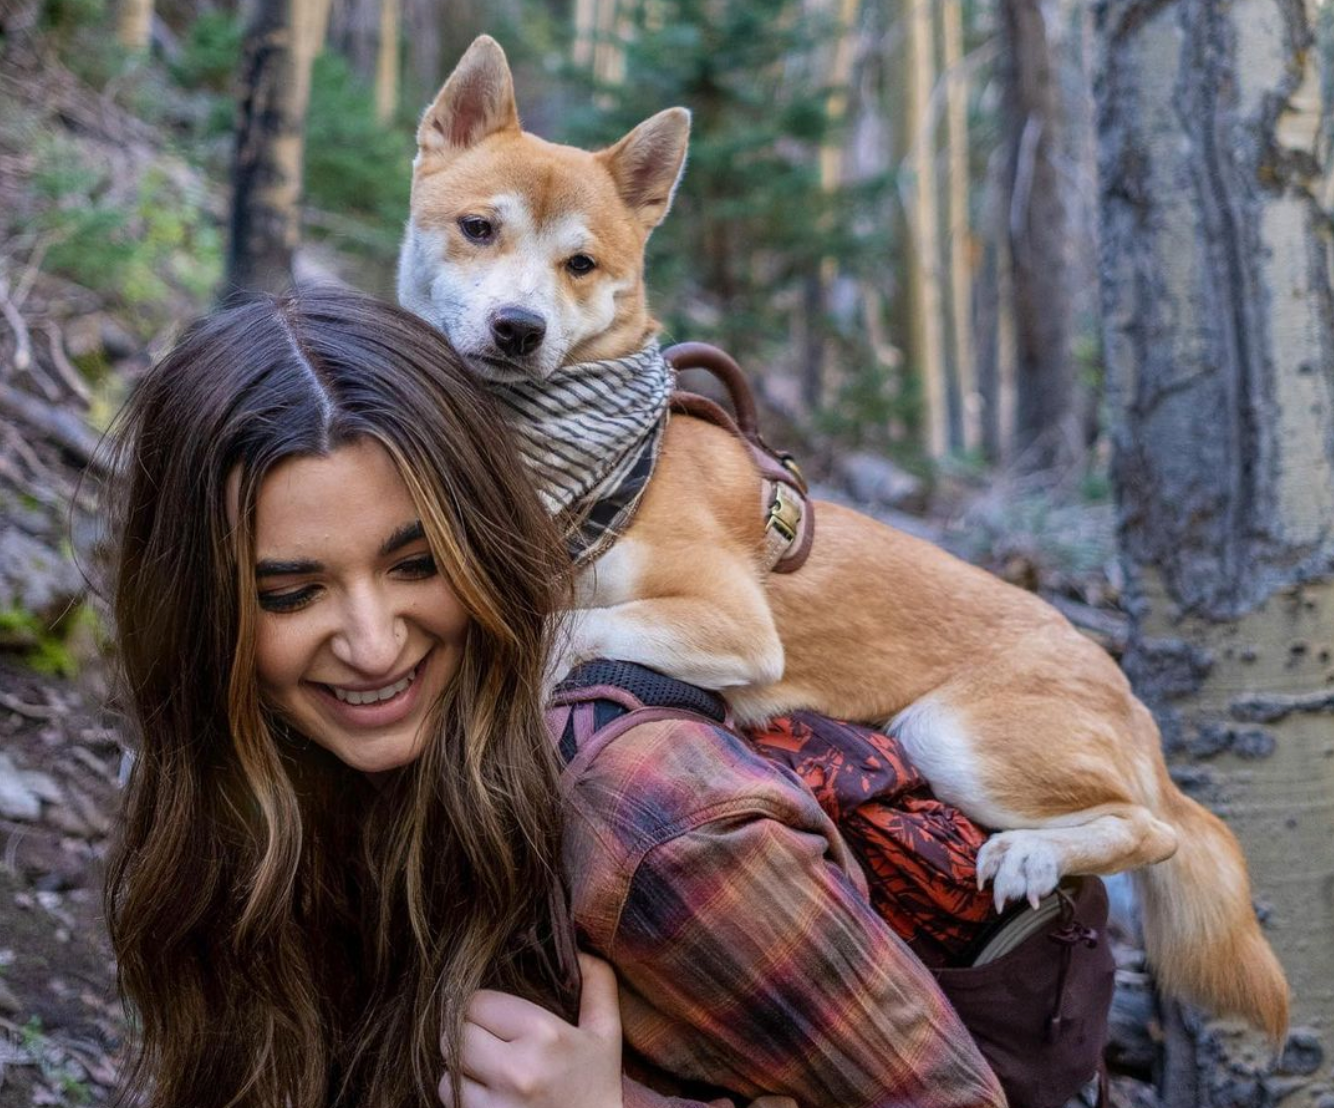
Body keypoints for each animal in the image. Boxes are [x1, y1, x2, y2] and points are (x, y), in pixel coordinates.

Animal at [400, 34, 1285, 1040]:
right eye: (478, 229)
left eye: (580, 264)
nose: (519, 328)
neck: (576, 469)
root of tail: (1127, 693)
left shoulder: (738, 622)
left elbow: (575, 621)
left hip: (949, 735)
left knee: (1157, 830)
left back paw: (1033, 853)